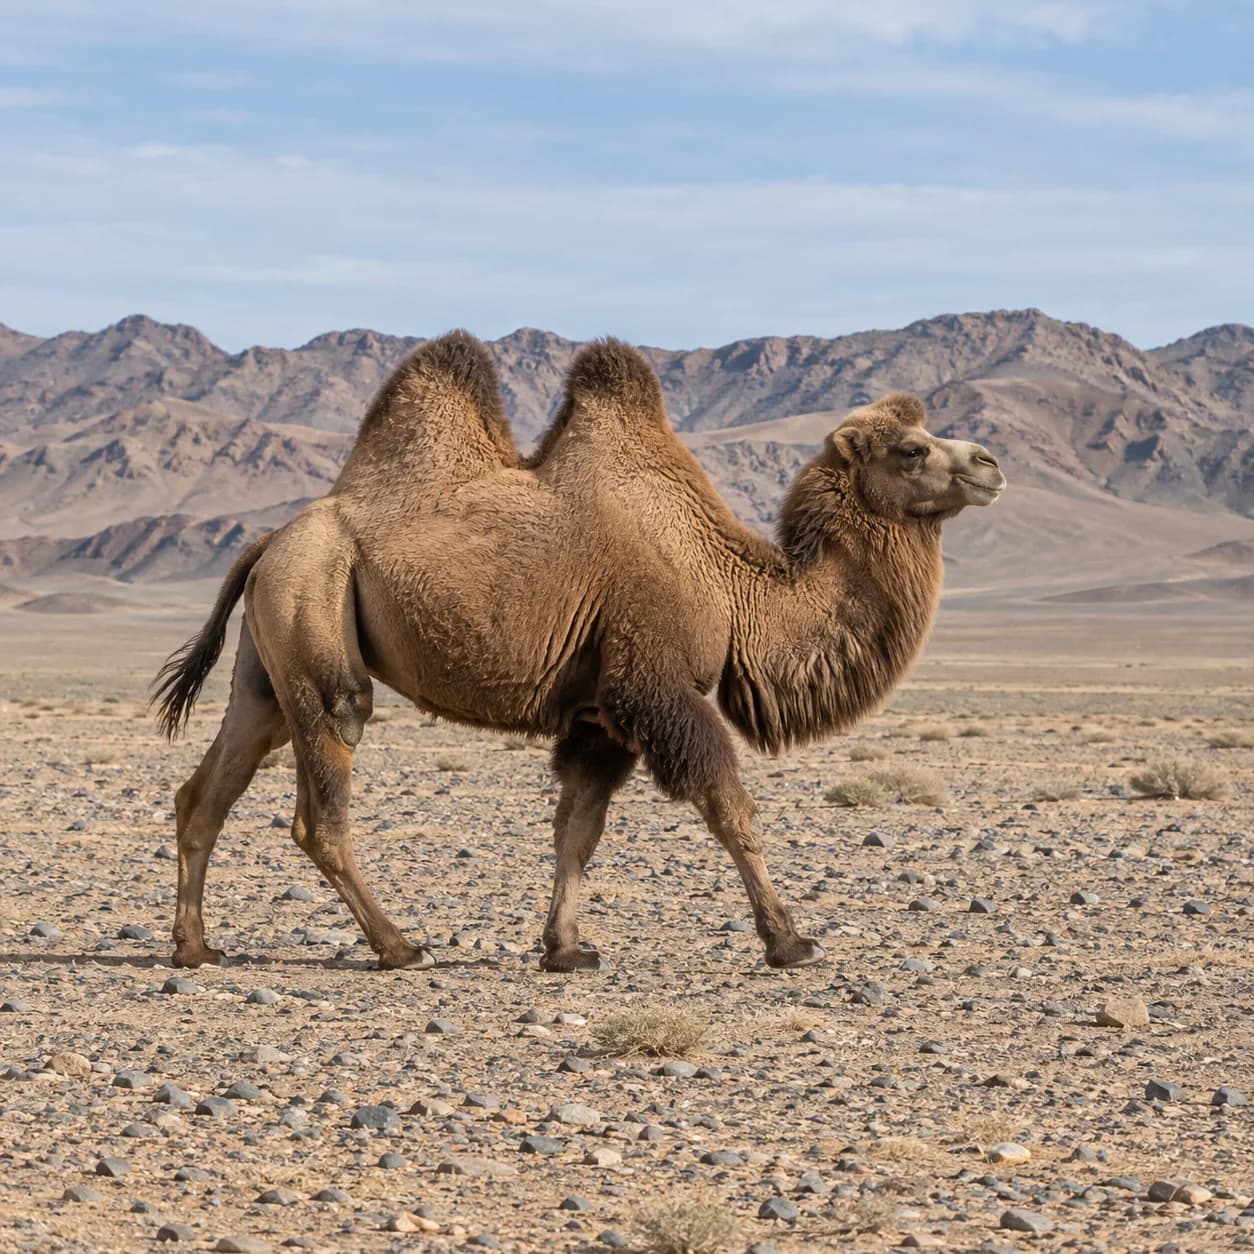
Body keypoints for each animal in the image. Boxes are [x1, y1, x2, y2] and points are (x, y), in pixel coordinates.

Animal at [153, 331, 1005, 973]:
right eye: (910, 450)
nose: (990, 463)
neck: (731, 586)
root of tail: (270, 538)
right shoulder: (655, 683)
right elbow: (728, 804)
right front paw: (790, 940)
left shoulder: (599, 710)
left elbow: (577, 827)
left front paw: (565, 948)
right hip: (316, 615)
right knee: (322, 791)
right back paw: (399, 946)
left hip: (269, 660)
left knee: (208, 789)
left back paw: (195, 947)